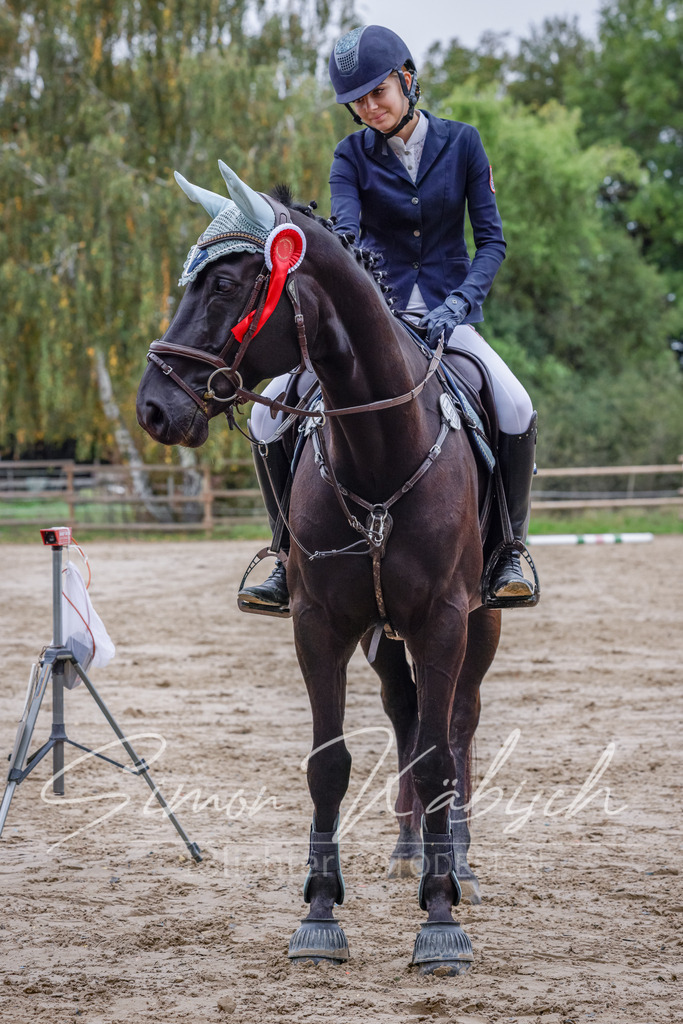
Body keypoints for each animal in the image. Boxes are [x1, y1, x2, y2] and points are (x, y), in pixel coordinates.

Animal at [136, 161, 502, 975]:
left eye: (225, 286)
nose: (152, 408)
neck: (379, 449)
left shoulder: (443, 620)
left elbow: (438, 758)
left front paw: (440, 919)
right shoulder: (321, 624)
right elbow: (328, 763)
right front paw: (320, 912)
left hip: (481, 622)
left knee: (458, 722)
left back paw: (457, 862)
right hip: (382, 636)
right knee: (405, 717)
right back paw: (408, 851)